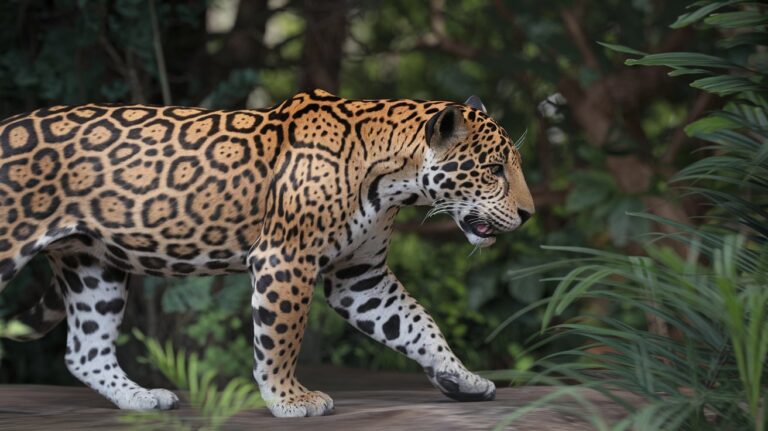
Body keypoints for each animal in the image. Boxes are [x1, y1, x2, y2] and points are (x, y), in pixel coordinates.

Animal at [0, 89, 534, 417]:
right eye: (493, 169)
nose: (529, 214)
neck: (392, 179)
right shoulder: (286, 259)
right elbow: (281, 338)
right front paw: (289, 399)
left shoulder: (360, 276)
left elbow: (419, 325)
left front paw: (462, 377)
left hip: (94, 265)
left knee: (85, 351)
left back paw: (142, 398)